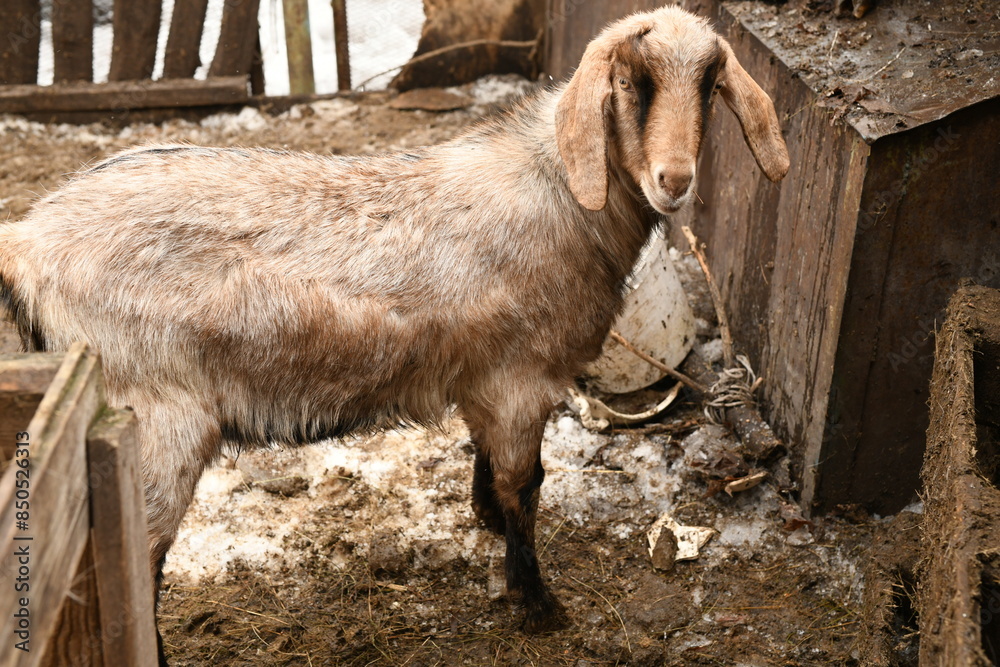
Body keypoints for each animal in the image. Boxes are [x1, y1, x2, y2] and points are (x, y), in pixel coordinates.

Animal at [0, 5, 788, 643]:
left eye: (710, 82)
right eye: (632, 82)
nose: (675, 181)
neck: (560, 190)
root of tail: (26, 242)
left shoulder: (486, 378)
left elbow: (491, 468)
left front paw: (487, 523)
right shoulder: (522, 379)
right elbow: (525, 485)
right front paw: (538, 603)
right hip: (157, 416)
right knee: (135, 561)